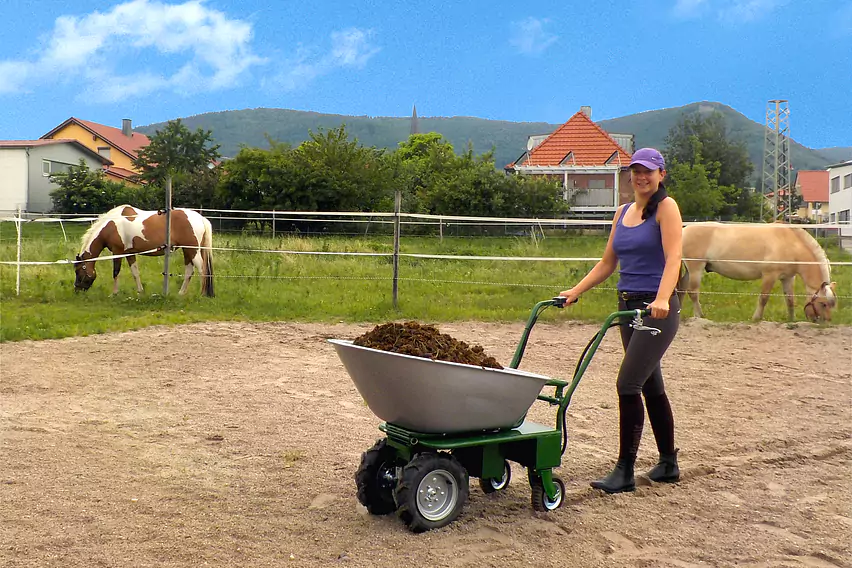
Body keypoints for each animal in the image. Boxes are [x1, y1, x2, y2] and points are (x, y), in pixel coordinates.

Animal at [75, 205, 215, 298]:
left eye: (78, 271)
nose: (76, 289)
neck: (111, 226)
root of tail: (200, 218)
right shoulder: (129, 253)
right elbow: (135, 273)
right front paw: (140, 291)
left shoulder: (117, 252)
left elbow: (115, 272)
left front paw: (114, 293)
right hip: (187, 251)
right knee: (189, 271)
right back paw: (181, 293)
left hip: (192, 250)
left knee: (202, 270)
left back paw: (202, 294)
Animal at [680, 222, 840, 322]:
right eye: (823, 304)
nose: (825, 322)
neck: (790, 244)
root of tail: (683, 230)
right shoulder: (769, 275)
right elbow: (763, 298)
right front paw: (756, 318)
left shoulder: (788, 278)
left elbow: (790, 300)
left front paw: (791, 320)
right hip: (696, 269)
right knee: (693, 292)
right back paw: (700, 316)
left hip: (688, 271)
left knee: (681, 289)